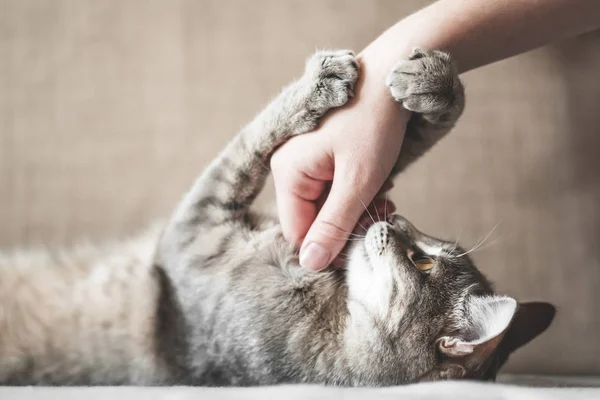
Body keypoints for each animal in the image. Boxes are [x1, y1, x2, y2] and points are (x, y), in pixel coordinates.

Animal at [0, 48, 552, 386]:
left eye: (422, 262)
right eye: (428, 245)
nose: (398, 222)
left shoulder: (194, 230)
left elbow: (250, 142)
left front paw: (319, 82)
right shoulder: (349, 192)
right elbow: (389, 147)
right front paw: (437, 88)